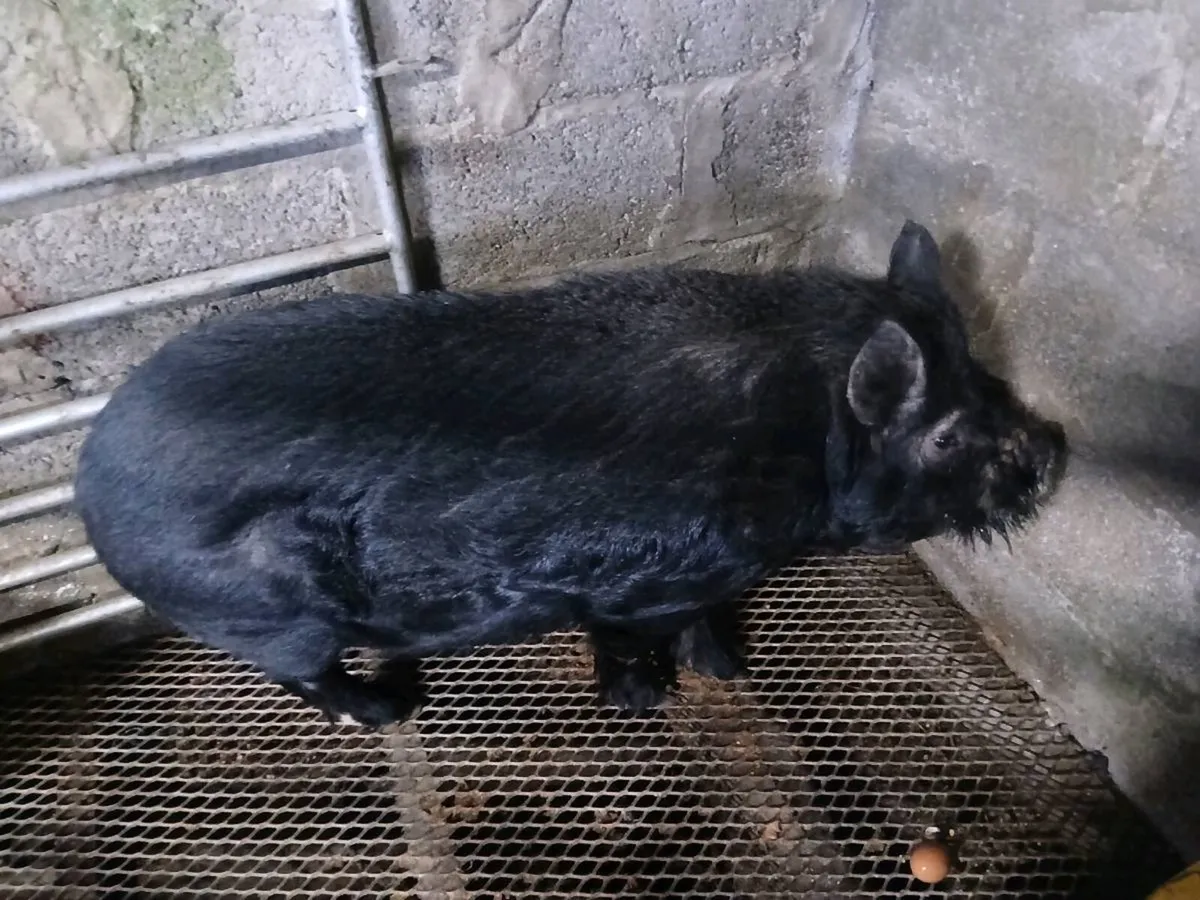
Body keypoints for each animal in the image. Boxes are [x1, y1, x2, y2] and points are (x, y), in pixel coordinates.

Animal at [73, 221, 1067, 727]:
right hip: (263, 615)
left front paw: (729, 666)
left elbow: (709, 616)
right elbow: (624, 641)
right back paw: (391, 710)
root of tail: (92, 479)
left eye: (986, 374)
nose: (1054, 447)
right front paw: (644, 701)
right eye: (944, 437)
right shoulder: (631, 585)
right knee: (308, 678)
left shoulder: (712, 573)